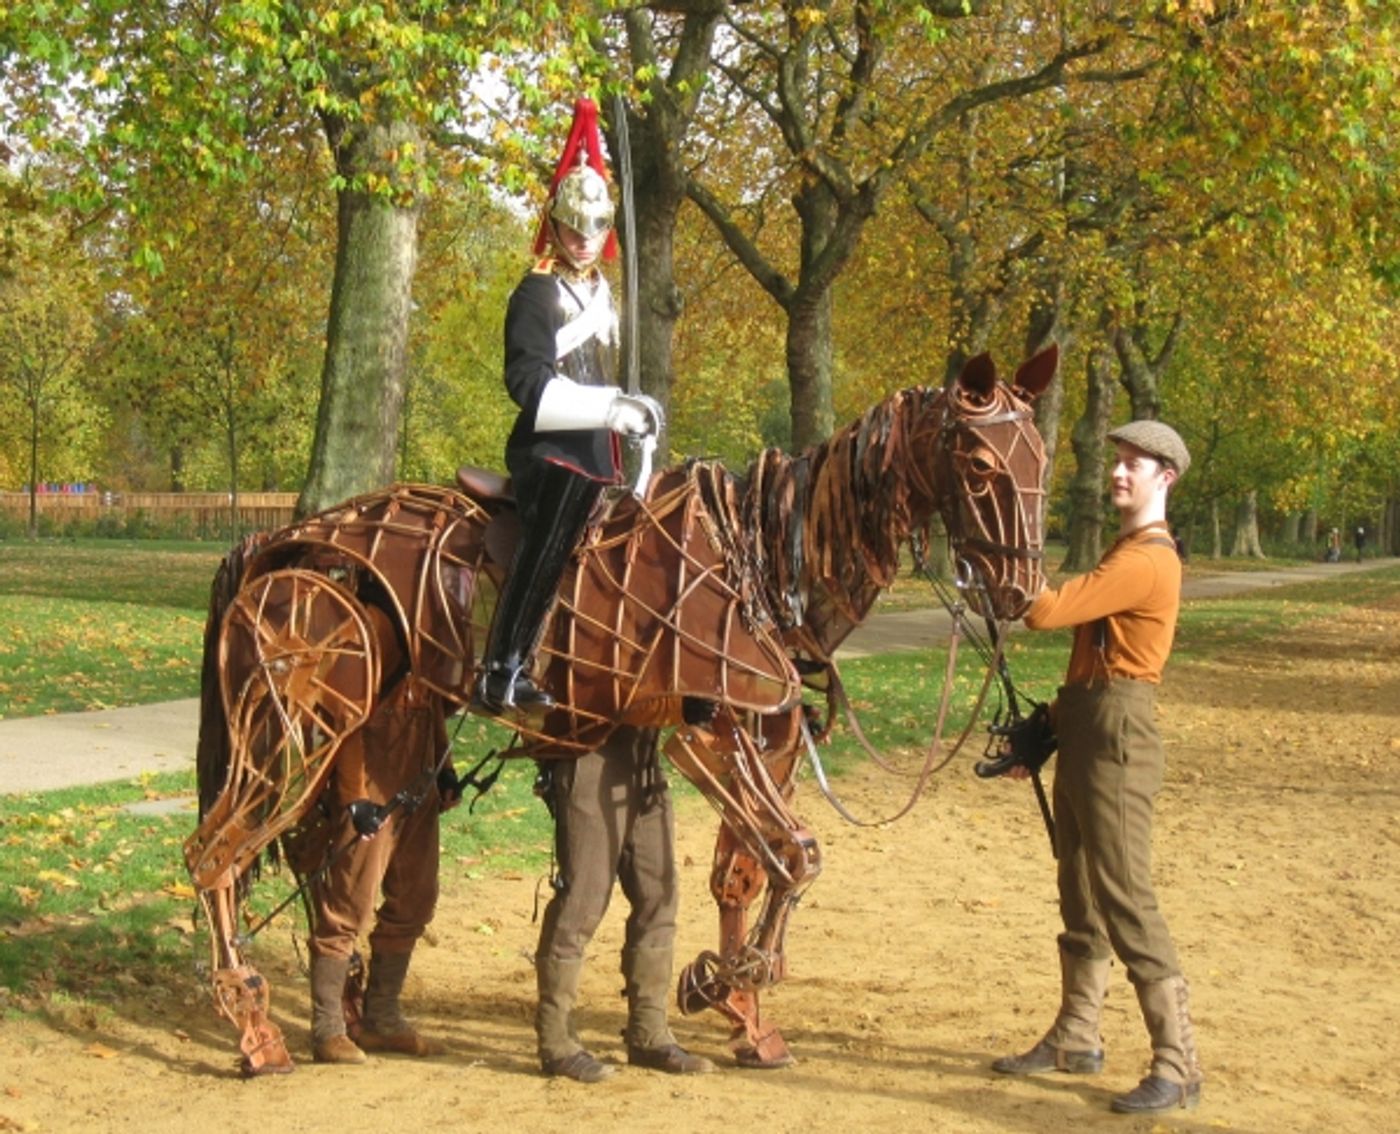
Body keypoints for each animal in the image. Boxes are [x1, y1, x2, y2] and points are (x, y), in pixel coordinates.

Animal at [183, 345, 1056, 1075]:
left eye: (1040, 457)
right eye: (978, 462)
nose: (1021, 591)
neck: (763, 558)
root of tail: (283, 541)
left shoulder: (763, 738)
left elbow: (746, 873)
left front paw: (737, 1007)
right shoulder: (708, 738)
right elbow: (798, 856)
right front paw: (726, 982)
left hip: (347, 740)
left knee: (325, 861)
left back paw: (345, 1010)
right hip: (293, 730)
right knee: (213, 854)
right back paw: (255, 1030)